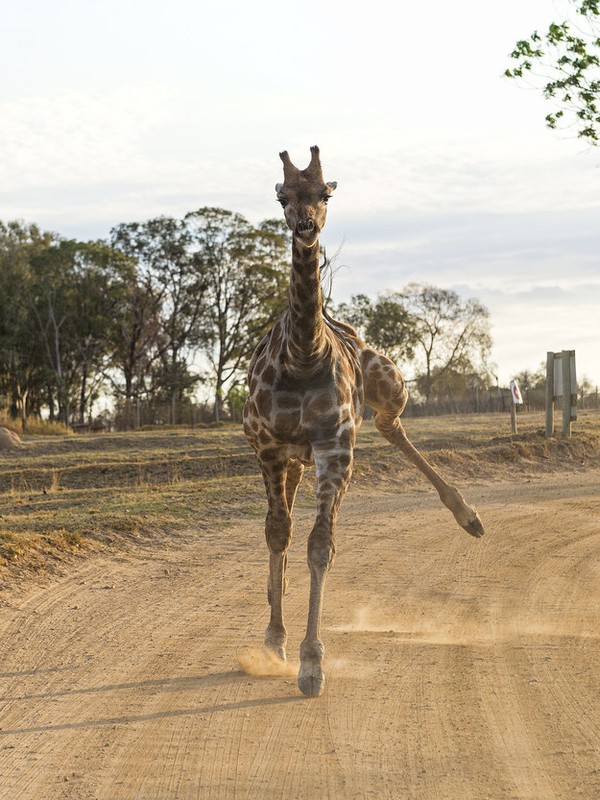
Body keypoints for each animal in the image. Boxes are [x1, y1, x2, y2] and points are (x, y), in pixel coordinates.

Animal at [244, 147, 482, 696]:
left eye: (325, 193)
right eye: (282, 197)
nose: (306, 226)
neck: (302, 354)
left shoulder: (335, 447)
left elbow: (320, 545)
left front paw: (312, 664)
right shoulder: (267, 446)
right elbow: (278, 532)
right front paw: (276, 642)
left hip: (390, 385)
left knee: (390, 426)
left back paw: (469, 516)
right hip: (289, 455)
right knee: (281, 524)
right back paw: (272, 619)